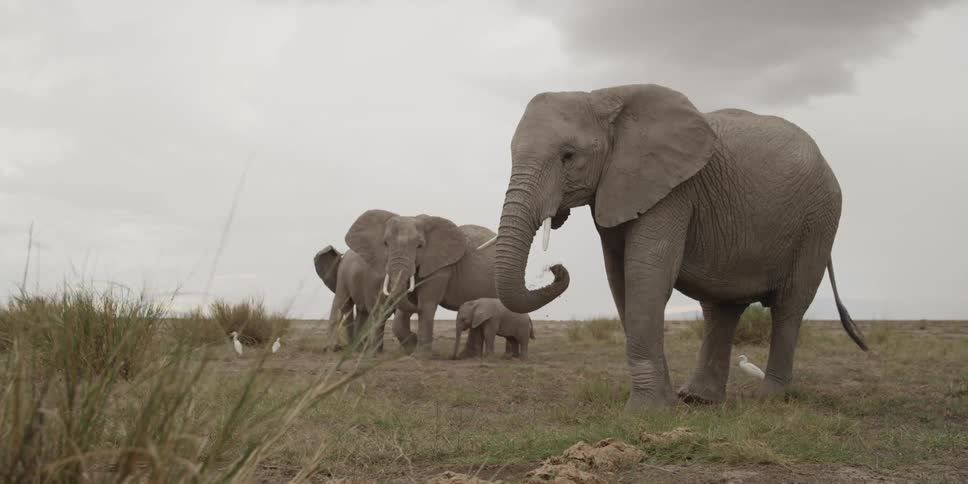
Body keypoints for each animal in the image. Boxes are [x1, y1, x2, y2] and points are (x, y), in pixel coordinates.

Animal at [345, 210, 497, 357]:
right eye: (386, 243)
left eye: (419, 246)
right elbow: (404, 306)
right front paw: (411, 346)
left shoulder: (439, 267)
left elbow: (427, 303)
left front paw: (419, 355)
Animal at [481, 83, 869, 409]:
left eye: (568, 156)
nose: (556, 268)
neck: (605, 95)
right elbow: (621, 281)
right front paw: (664, 405)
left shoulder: (673, 190)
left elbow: (645, 275)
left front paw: (645, 412)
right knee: (722, 309)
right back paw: (698, 399)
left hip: (818, 220)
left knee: (789, 305)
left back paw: (769, 399)